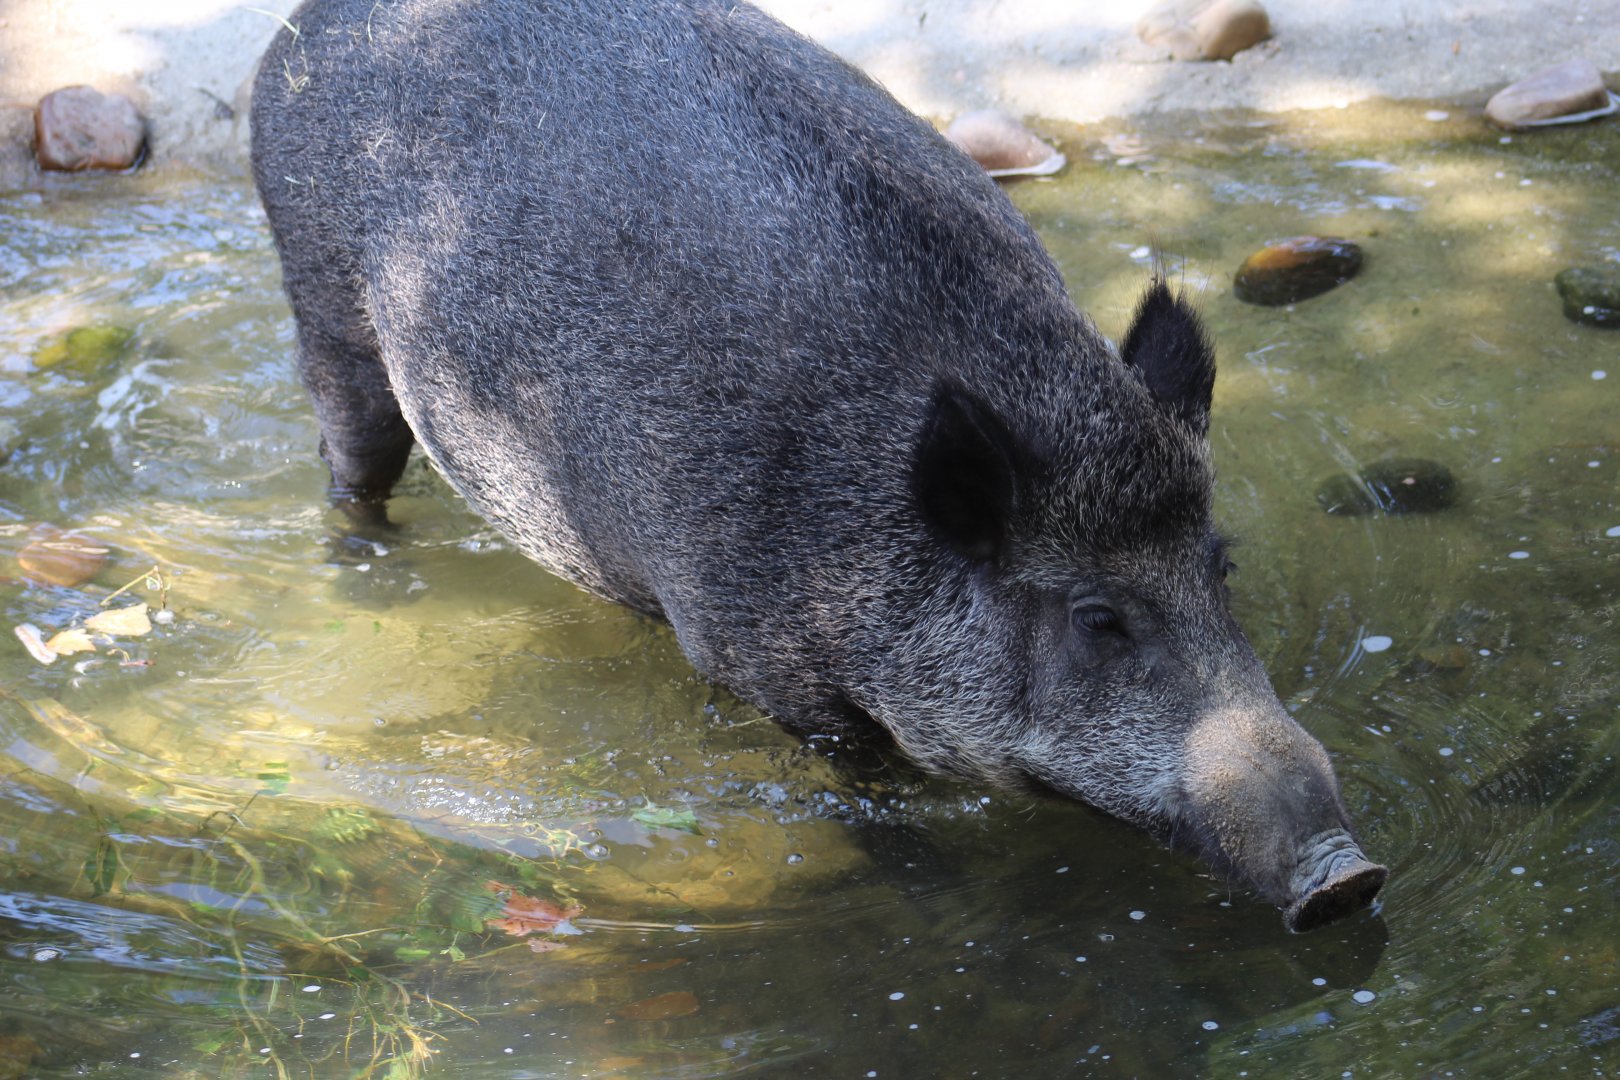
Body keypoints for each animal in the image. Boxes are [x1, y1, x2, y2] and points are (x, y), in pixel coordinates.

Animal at [250, 0, 1386, 931]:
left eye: (1220, 569)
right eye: (1098, 618)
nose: (1350, 876)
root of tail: (303, 30)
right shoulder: (763, 667)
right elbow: (870, 804)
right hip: (327, 308)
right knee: (350, 471)